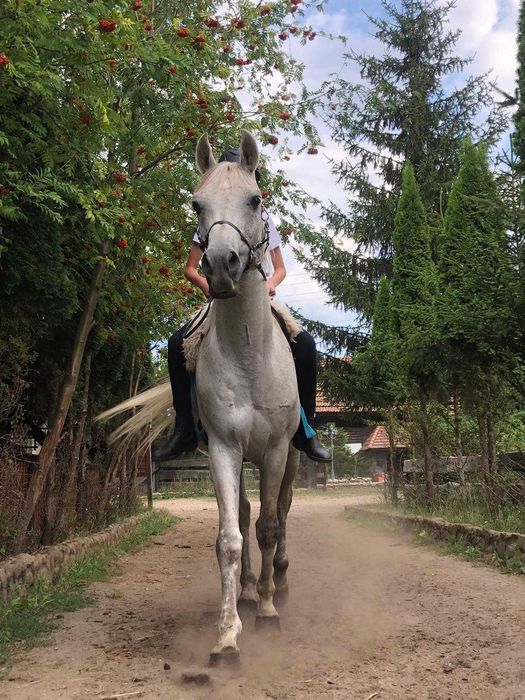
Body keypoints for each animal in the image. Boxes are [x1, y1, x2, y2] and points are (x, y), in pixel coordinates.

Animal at [100, 133, 300, 668]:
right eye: (196, 204)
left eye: (254, 200)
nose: (221, 265)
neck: (249, 350)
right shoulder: (225, 450)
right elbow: (230, 538)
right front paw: (228, 636)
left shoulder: (275, 450)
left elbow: (270, 525)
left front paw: (269, 613)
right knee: (248, 514)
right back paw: (250, 590)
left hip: (291, 454)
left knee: (282, 510)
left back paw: (279, 583)